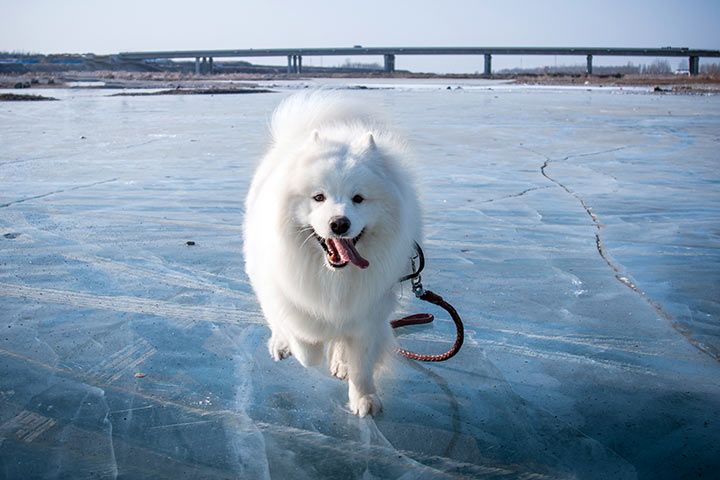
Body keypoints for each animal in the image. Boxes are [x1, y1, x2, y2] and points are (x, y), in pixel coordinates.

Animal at [243, 92, 422, 414]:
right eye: (318, 197)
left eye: (359, 198)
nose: (339, 223)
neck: (333, 276)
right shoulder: (288, 295)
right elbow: (305, 344)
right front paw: (299, 346)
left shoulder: (368, 313)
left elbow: (361, 364)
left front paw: (363, 398)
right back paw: (281, 344)